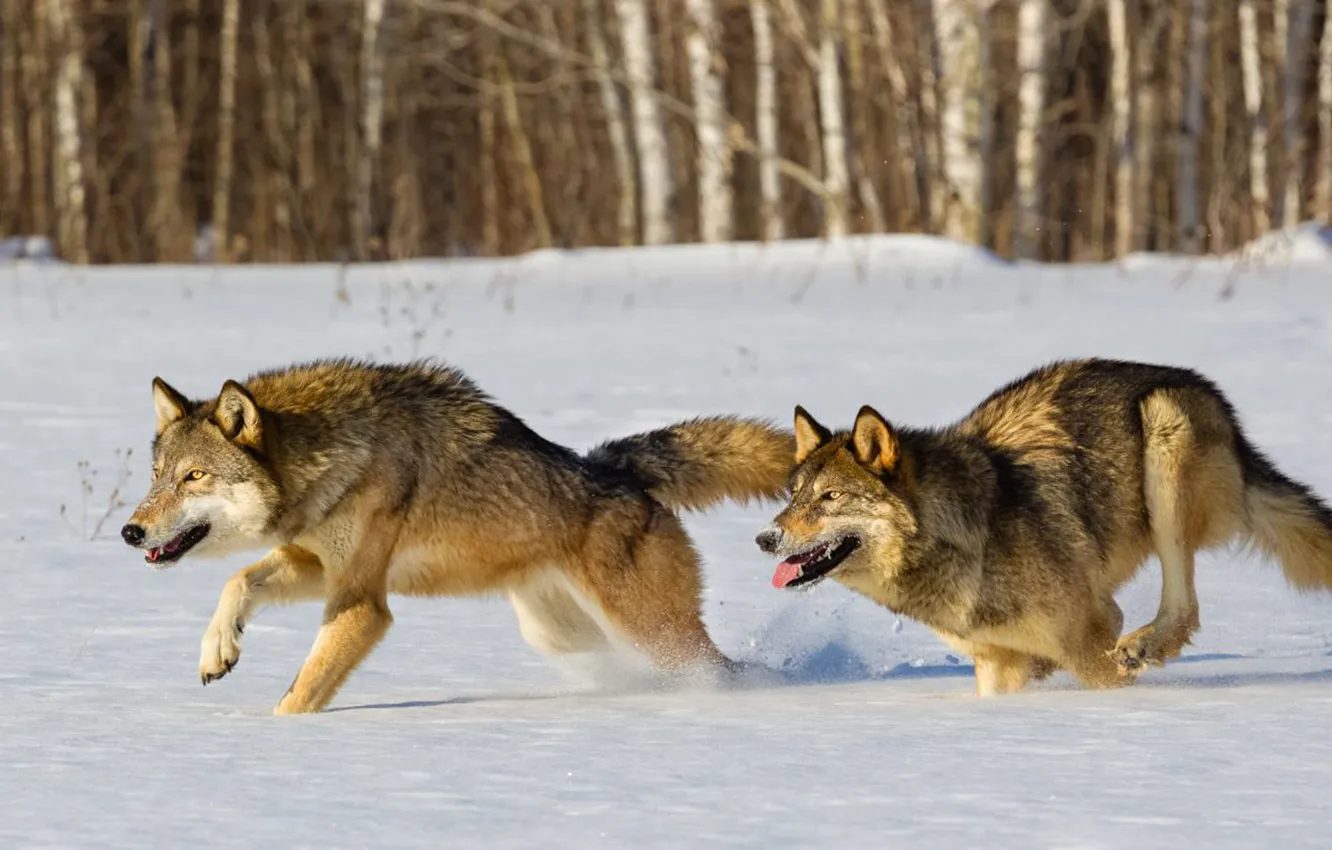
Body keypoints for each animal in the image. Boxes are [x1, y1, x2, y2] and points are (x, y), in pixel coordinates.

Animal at [121, 359, 793, 714]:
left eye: (194, 477)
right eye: (156, 477)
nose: (130, 531)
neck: (336, 457)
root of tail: (616, 468)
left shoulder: (362, 603)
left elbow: (301, 691)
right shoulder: (320, 566)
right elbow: (238, 581)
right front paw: (218, 650)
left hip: (648, 629)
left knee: (717, 668)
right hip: (561, 634)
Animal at [756, 358, 1332, 696]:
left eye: (830, 498)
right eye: (793, 496)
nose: (765, 539)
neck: (965, 540)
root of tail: (1210, 392)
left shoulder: (1091, 630)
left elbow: (1103, 670)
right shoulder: (994, 663)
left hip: (1163, 435)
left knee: (1184, 605)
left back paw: (1145, 646)